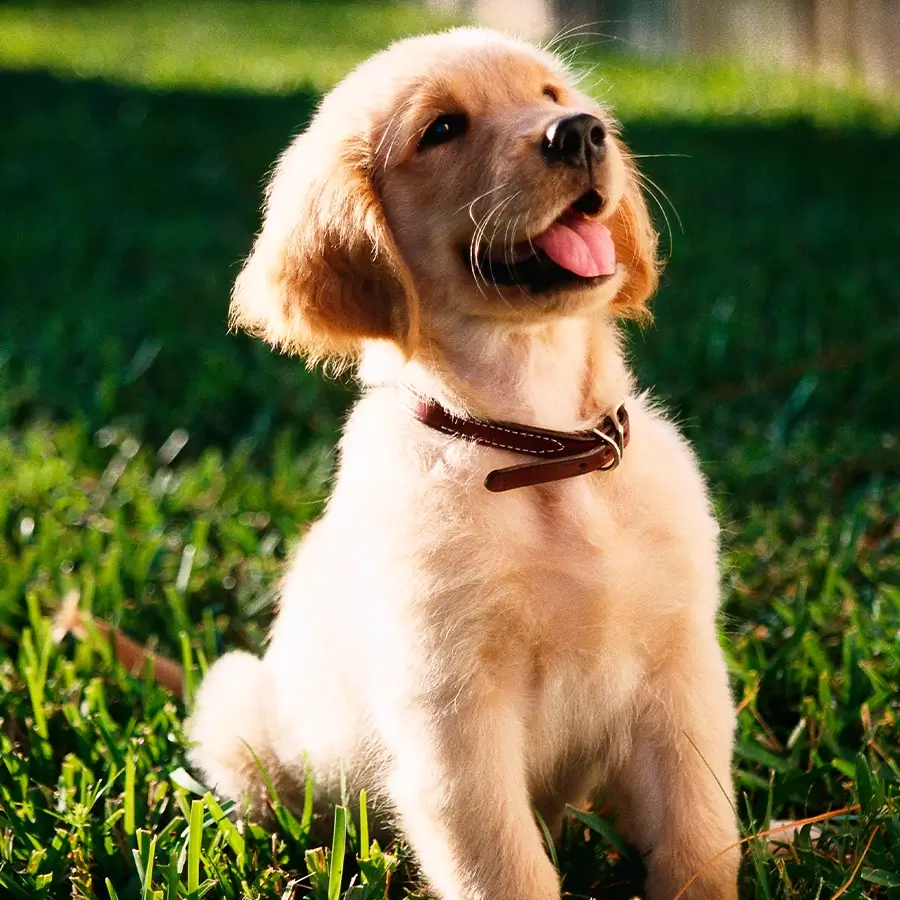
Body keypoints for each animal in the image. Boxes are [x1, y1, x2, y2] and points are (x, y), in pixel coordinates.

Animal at [188, 28, 740, 900]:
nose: (581, 132)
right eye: (441, 129)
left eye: (551, 96)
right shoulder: (452, 720)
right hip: (235, 703)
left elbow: (701, 846)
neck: (542, 450)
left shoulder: (679, 679)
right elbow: (504, 868)